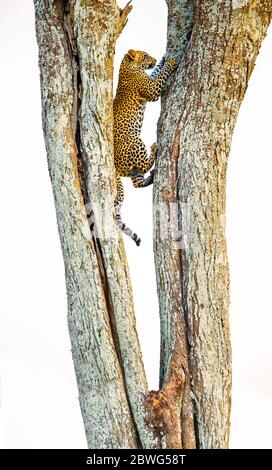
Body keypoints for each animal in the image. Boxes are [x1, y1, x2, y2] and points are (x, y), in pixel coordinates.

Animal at [113, 49, 177, 246]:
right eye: (146, 55)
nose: (154, 58)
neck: (127, 67)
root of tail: (114, 166)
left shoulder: (150, 80)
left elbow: (156, 72)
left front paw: (162, 60)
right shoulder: (152, 90)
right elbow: (161, 76)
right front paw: (170, 62)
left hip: (132, 170)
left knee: (137, 182)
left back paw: (152, 176)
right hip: (135, 141)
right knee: (142, 165)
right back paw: (155, 150)